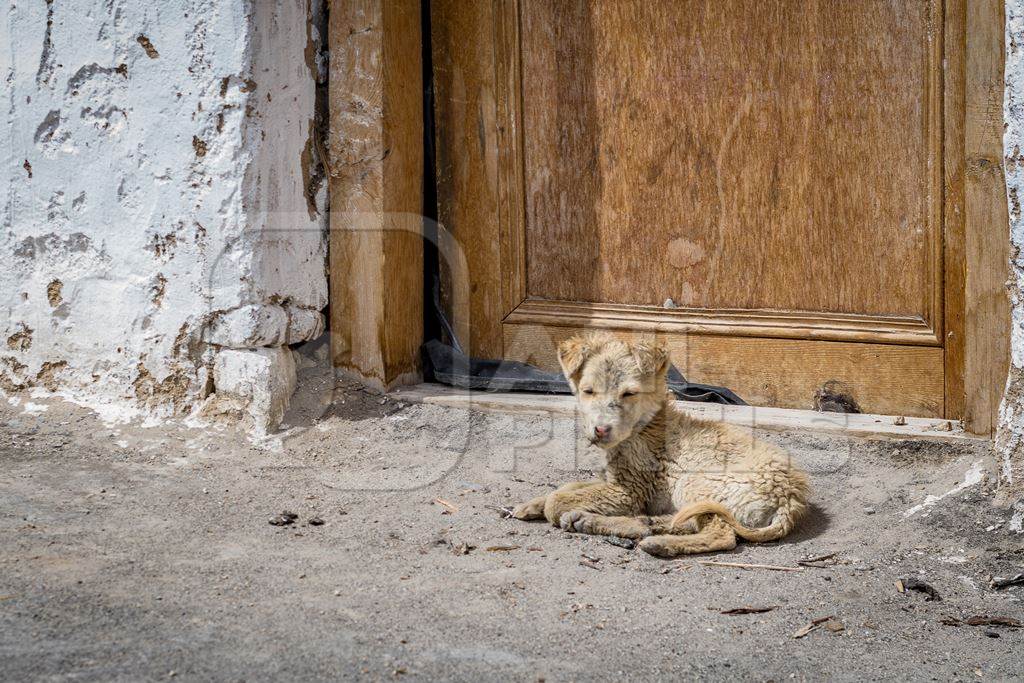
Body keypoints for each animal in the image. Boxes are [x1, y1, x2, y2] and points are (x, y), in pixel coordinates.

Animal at [512, 333, 806, 557]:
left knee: (722, 535)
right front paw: (531, 504)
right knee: (684, 521)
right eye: (588, 391)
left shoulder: (629, 490)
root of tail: (790, 499)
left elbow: (557, 499)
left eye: (629, 393)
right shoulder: (614, 480)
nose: (601, 430)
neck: (645, 425)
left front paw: (548, 507)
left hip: (697, 483)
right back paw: (628, 523)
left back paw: (656, 541)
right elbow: (567, 487)